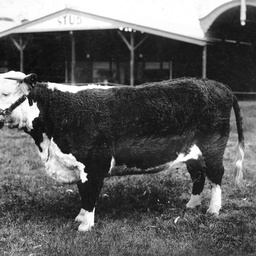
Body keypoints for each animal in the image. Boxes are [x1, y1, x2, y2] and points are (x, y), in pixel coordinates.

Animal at [0, 70, 245, 232]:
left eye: (4, 93)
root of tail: (218, 85)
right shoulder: (80, 167)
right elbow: (82, 193)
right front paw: (79, 218)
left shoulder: (94, 164)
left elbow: (89, 195)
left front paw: (85, 226)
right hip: (192, 154)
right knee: (198, 176)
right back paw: (191, 205)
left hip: (213, 148)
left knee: (216, 176)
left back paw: (213, 210)